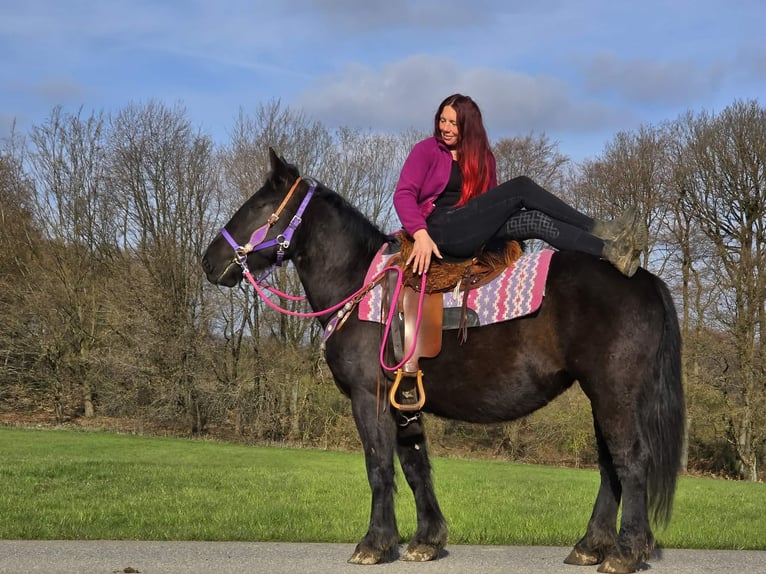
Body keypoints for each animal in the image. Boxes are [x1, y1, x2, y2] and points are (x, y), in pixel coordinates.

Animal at [201, 148, 685, 574]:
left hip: (613, 392)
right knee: (609, 466)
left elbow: (379, 466)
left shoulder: (368, 396)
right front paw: (425, 541)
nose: (209, 261)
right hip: (601, 396)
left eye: (258, 206)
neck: (360, 283)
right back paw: (590, 546)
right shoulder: (403, 402)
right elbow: (416, 466)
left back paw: (625, 552)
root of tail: (642, 277)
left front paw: (374, 544)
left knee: (630, 460)